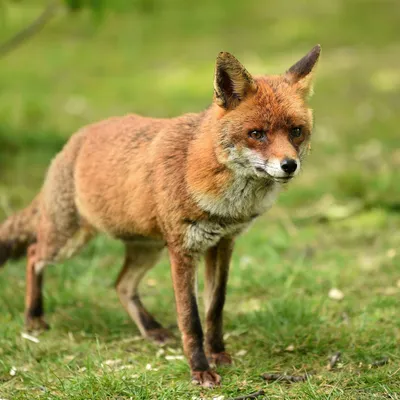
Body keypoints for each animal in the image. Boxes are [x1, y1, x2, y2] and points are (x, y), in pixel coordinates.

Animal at [0, 45, 320, 386]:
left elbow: (215, 308)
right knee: (34, 254)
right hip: (67, 240)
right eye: (257, 133)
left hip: (148, 248)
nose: (289, 165)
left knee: (121, 285)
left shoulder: (223, 244)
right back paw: (34, 317)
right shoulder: (183, 249)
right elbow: (190, 317)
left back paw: (151, 329)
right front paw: (200, 369)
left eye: (296, 132)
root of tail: (75, 139)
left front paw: (218, 353)